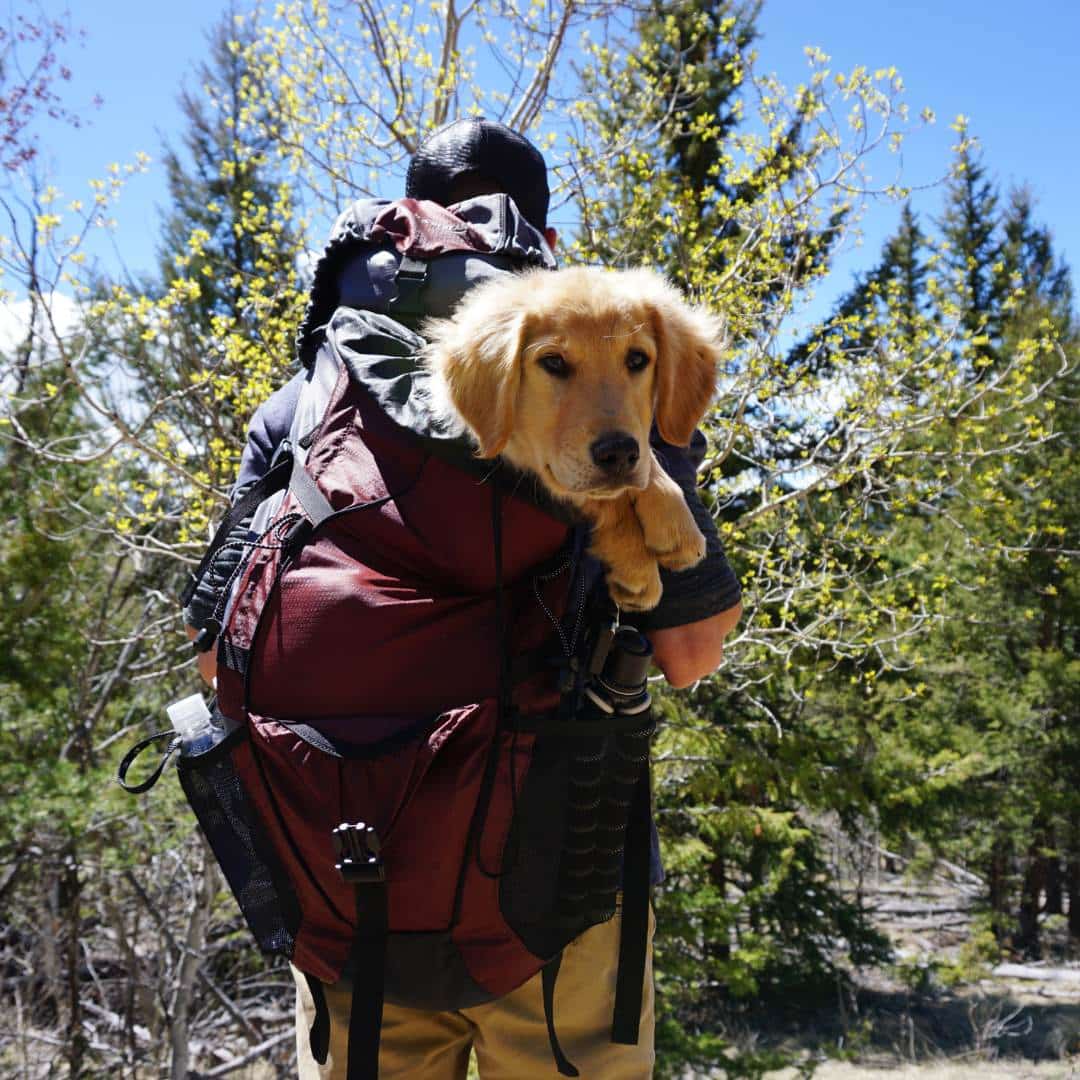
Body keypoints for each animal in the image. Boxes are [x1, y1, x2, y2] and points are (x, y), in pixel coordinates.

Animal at [423, 266, 725, 613]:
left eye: (637, 359)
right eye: (553, 362)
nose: (618, 454)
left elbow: (642, 462)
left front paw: (672, 516)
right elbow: (594, 495)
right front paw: (637, 562)